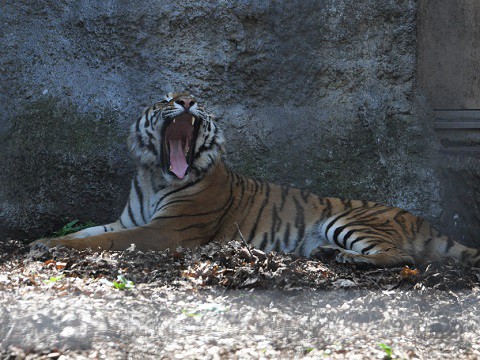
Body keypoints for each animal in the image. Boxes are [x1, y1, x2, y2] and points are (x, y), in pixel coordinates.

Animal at [31, 93, 480, 268]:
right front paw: (43, 241)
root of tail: (424, 221)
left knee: (404, 257)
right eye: (165, 99)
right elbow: (88, 232)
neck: (155, 175)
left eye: (197, 99)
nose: (187, 101)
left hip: (349, 221)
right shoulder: (129, 220)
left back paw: (347, 258)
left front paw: (52, 246)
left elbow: (105, 242)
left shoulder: (166, 231)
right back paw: (326, 254)